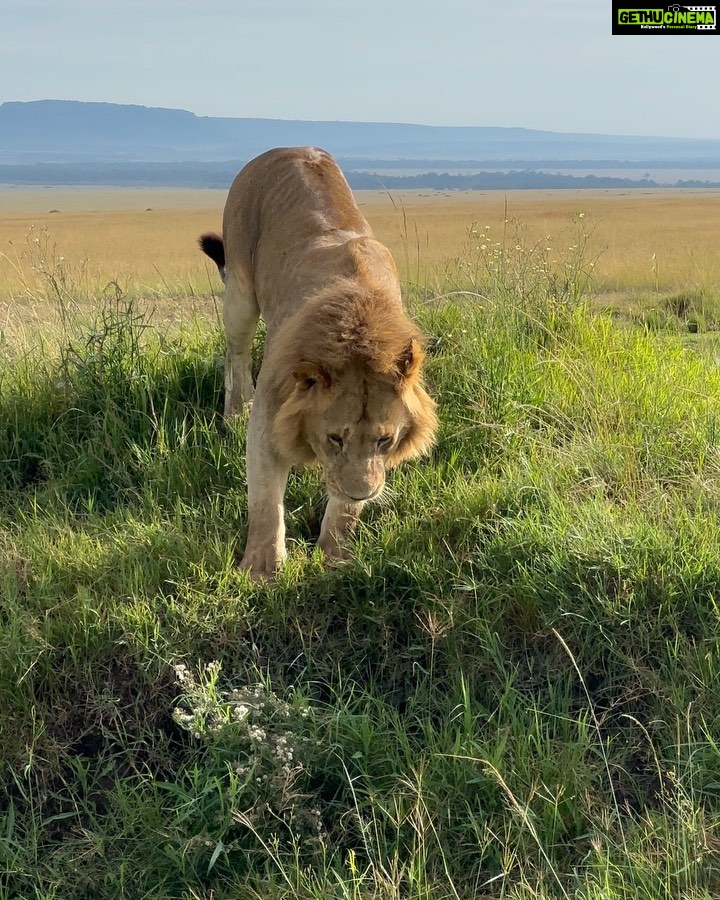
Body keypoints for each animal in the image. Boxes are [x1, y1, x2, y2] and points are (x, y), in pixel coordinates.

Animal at [198, 144, 438, 580]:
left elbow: (343, 511)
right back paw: (233, 413)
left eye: (385, 439)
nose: (363, 491)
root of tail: (287, 148)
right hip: (239, 292)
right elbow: (264, 502)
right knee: (235, 356)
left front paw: (334, 557)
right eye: (334, 438)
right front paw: (261, 569)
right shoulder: (269, 419)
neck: (359, 322)